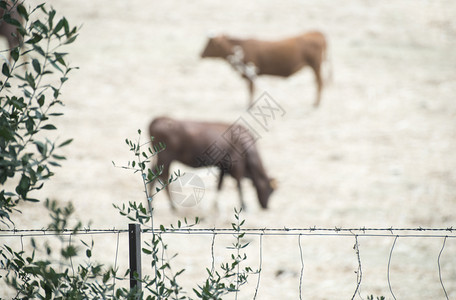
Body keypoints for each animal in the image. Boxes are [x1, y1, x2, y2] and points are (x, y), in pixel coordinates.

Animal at [200, 31, 328, 106]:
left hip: (316, 65)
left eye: (210, 44)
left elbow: (251, 89)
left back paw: (316, 104)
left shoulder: (250, 73)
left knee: (319, 82)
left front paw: (250, 105)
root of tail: (317, 33)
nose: (200, 54)